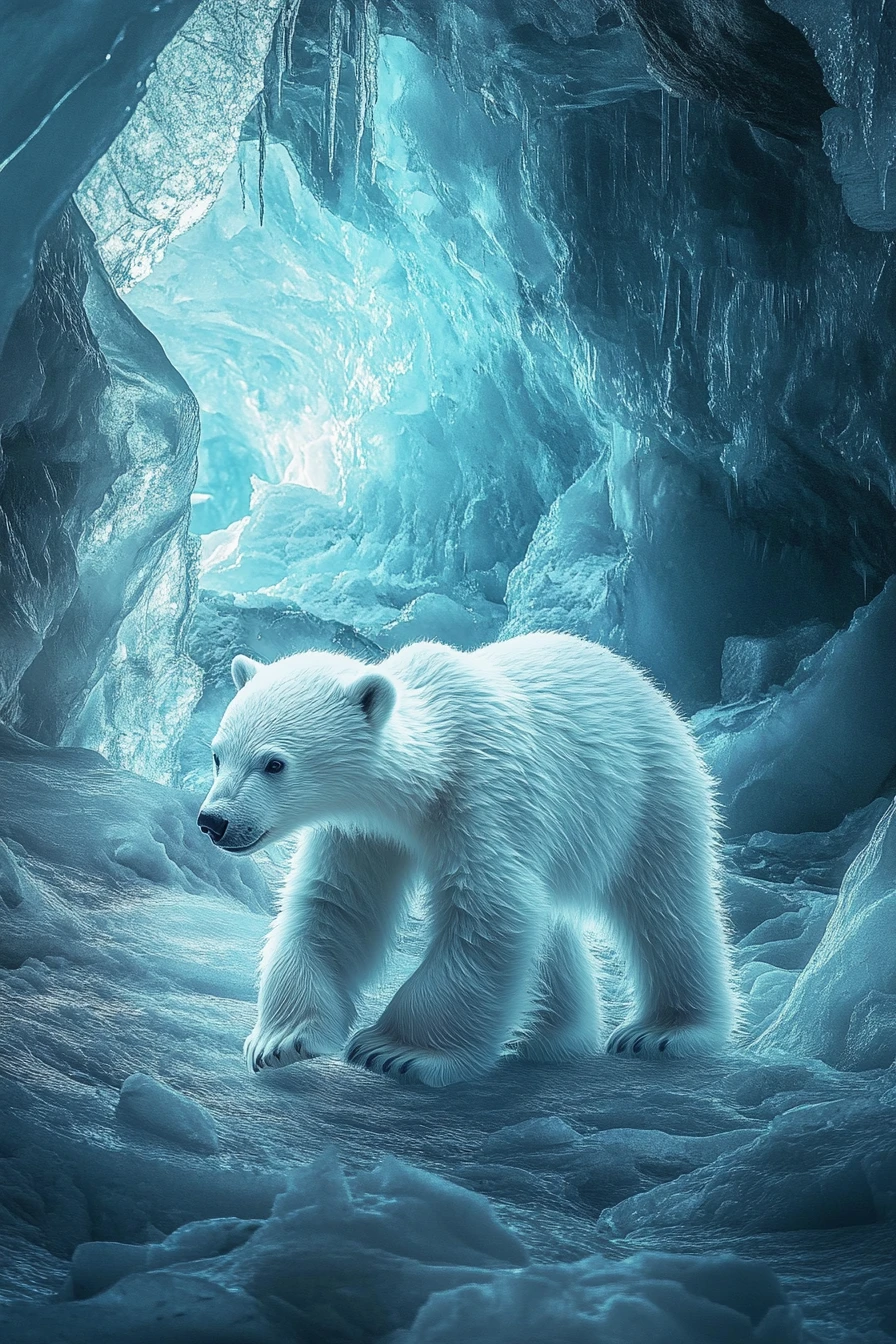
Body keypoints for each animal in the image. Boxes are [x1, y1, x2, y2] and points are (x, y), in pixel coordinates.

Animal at [197, 633, 737, 1086]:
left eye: (274, 763)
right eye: (218, 755)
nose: (212, 821)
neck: (432, 770)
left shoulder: (484, 796)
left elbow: (488, 911)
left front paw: (395, 1051)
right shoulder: (360, 830)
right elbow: (336, 907)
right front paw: (281, 1040)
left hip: (649, 791)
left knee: (663, 901)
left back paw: (663, 1031)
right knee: (557, 923)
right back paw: (550, 1037)